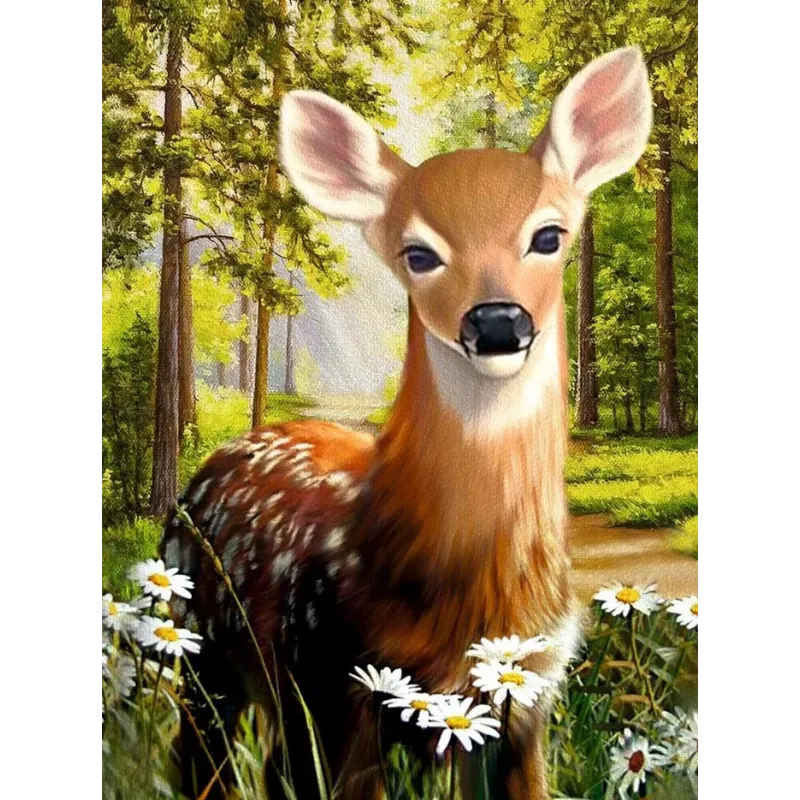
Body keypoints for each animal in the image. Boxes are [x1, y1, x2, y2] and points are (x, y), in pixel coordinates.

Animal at [161, 47, 652, 800]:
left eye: (549, 235)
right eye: (418, 253)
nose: (498, 322)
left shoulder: (528, 697)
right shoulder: (335, 672)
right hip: (205, 651)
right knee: (200, 761)